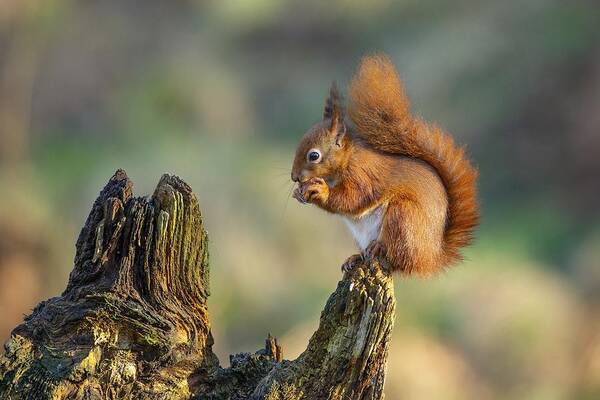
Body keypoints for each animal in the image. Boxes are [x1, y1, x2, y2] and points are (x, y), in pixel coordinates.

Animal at [290, 55, 478, 276]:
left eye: (314, 156)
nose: (294, 177)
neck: (347, 160)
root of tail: (431, 258)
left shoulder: (363, 174)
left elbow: (353, 198)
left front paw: (320, 191)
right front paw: (298, 193)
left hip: (403, 217)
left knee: (397, 259)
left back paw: (379, 248)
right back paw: (355, 258)